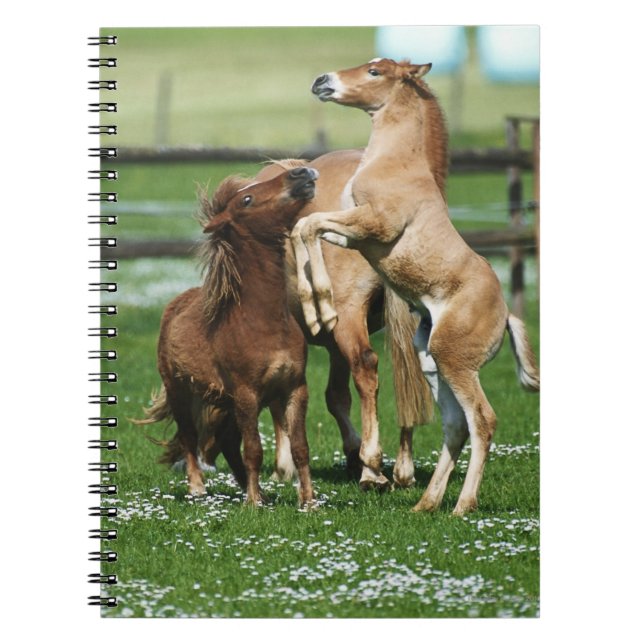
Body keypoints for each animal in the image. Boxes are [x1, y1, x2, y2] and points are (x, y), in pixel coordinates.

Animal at [135, 167, 319, 508]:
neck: (264, 324)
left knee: (227, 442)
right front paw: (253, 504)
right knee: (190, 437)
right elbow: (255, 450)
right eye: (247, 199)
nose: (301, 173)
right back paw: (198, 488)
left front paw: (308, 503)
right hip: (181, 392)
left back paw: (250, 488)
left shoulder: (294, 389)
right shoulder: (247, 394)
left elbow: (300, 448)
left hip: (227, 404)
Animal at [291, 58, 540, 515]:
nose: (322, 81)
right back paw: (425, 503)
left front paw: (324, 308)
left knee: (482, 420)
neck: (396, 163)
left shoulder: (375, 226)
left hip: (455, 360)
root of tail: (506, 315)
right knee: (455, 426)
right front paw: (317, 308)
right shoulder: (355, 234)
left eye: (375, 72)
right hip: (430, 359)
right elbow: (305, 228)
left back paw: (462, 505)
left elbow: (310, 225)